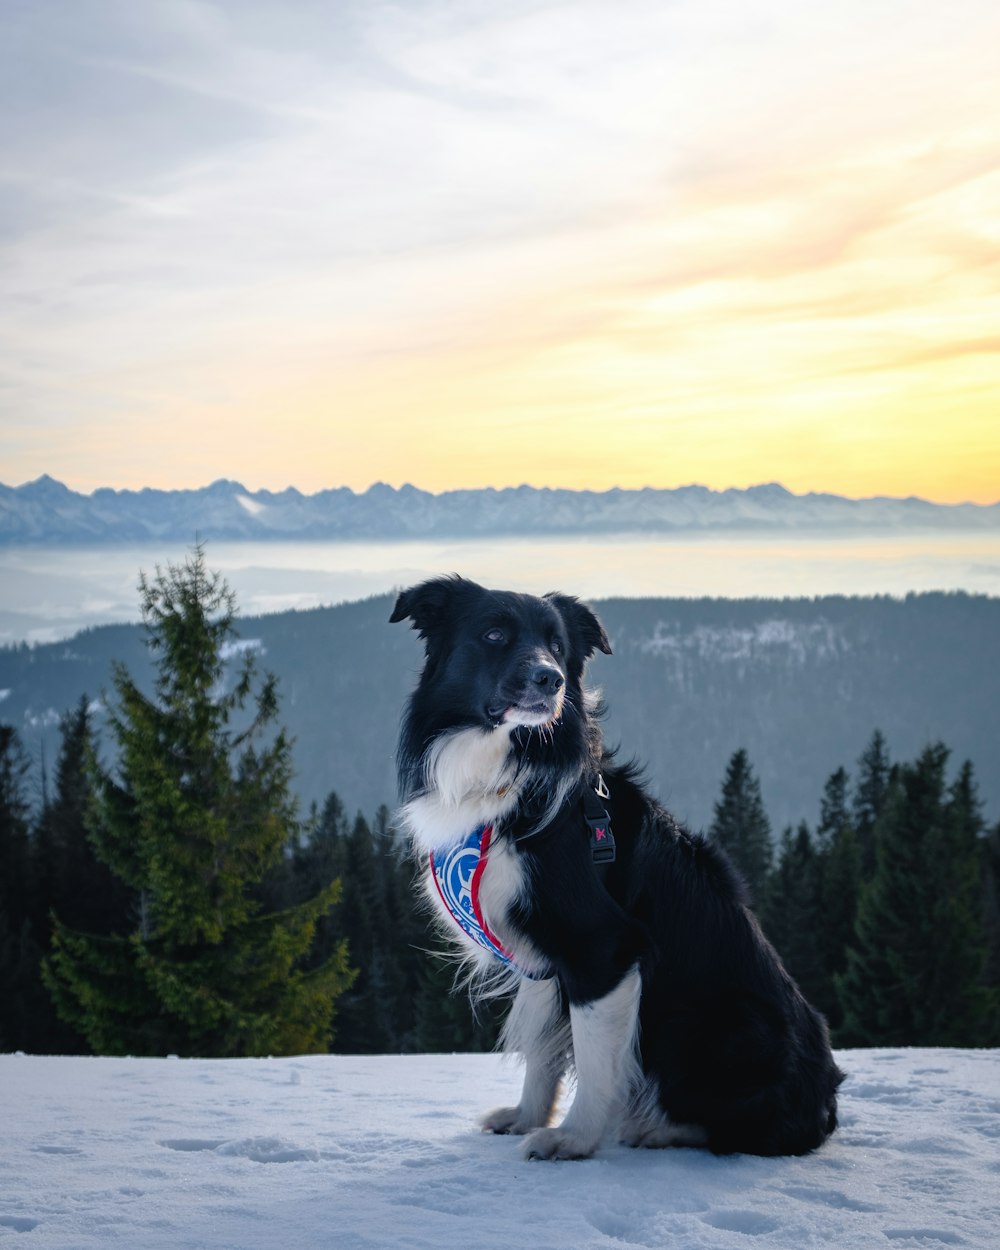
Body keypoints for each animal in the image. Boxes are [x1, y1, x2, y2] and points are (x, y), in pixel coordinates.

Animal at [390, 577, 845, 1160]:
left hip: (713, 1024)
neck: (509, 772)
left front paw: (573, 1139)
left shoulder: (603, 946)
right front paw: (526, 1117)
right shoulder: (543, 960)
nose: (551, 678)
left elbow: (595, 1058)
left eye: (557, 645)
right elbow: (543, 1050)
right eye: (494, 634)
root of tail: (825, 1105)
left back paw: (657, 1128)